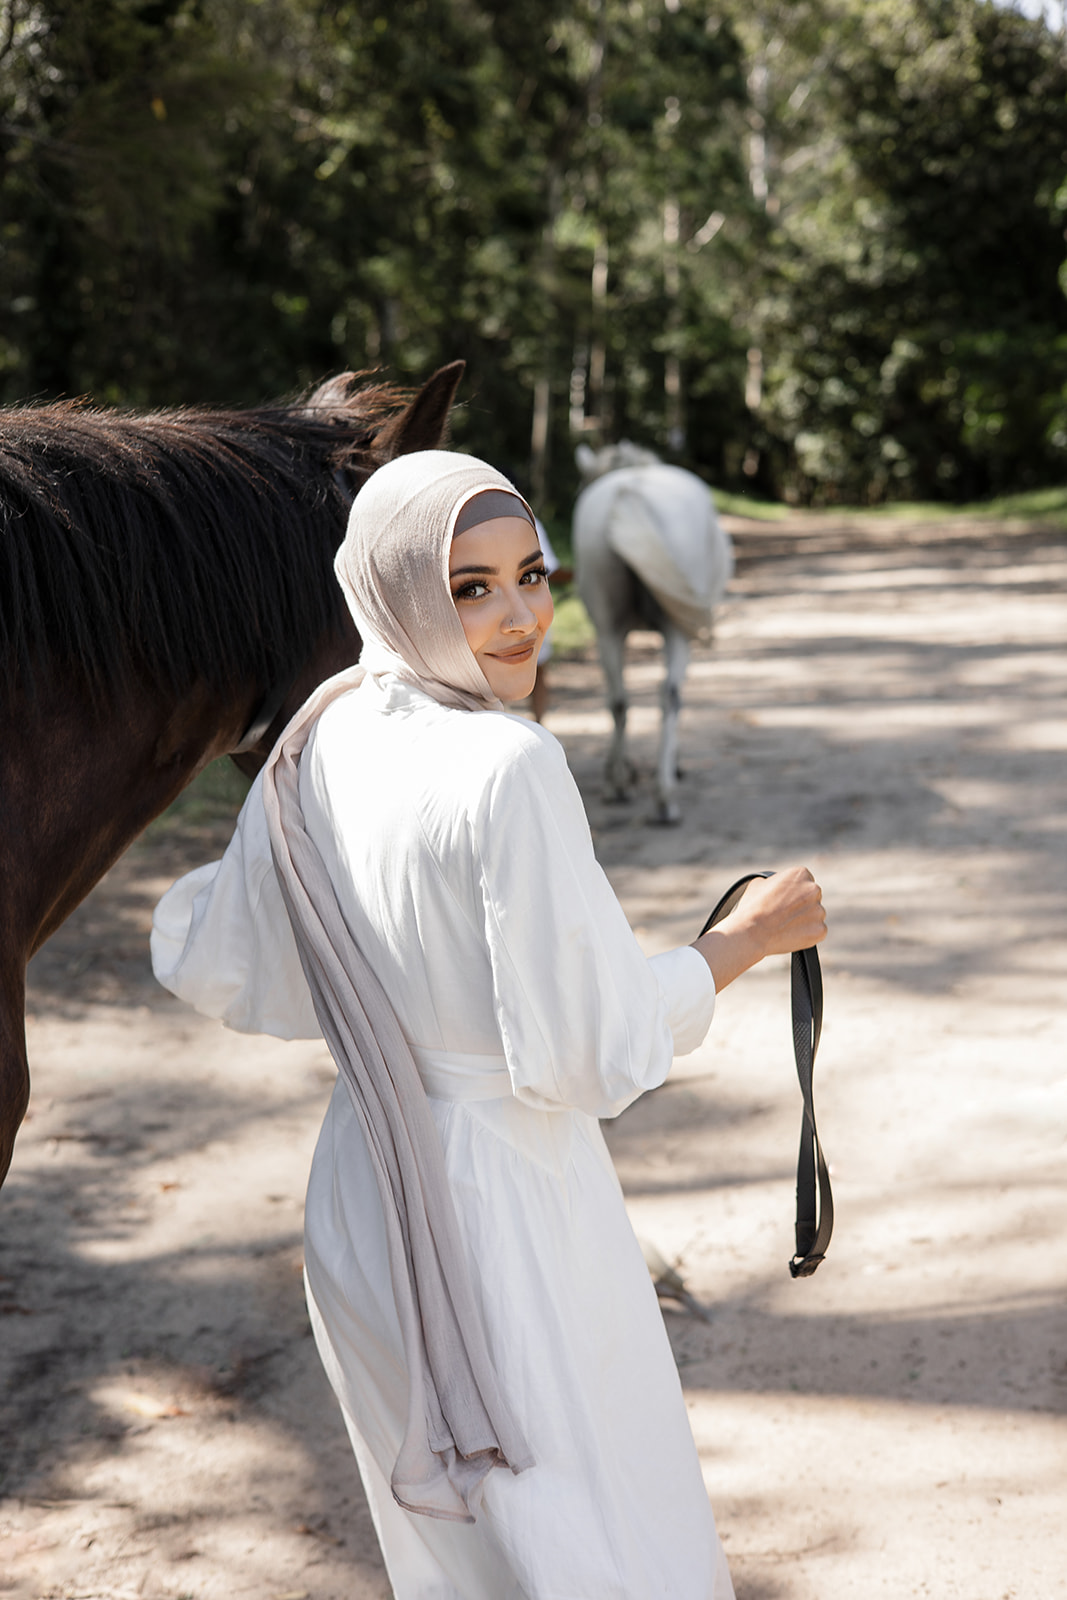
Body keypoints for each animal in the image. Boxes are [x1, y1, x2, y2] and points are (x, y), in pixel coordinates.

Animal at [573, 442, 733, 825]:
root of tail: (629, 491)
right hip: (676, 632)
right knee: (669, 696)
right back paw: (663, 797)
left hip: (608, 630)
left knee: (619, 700)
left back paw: (619, 785)